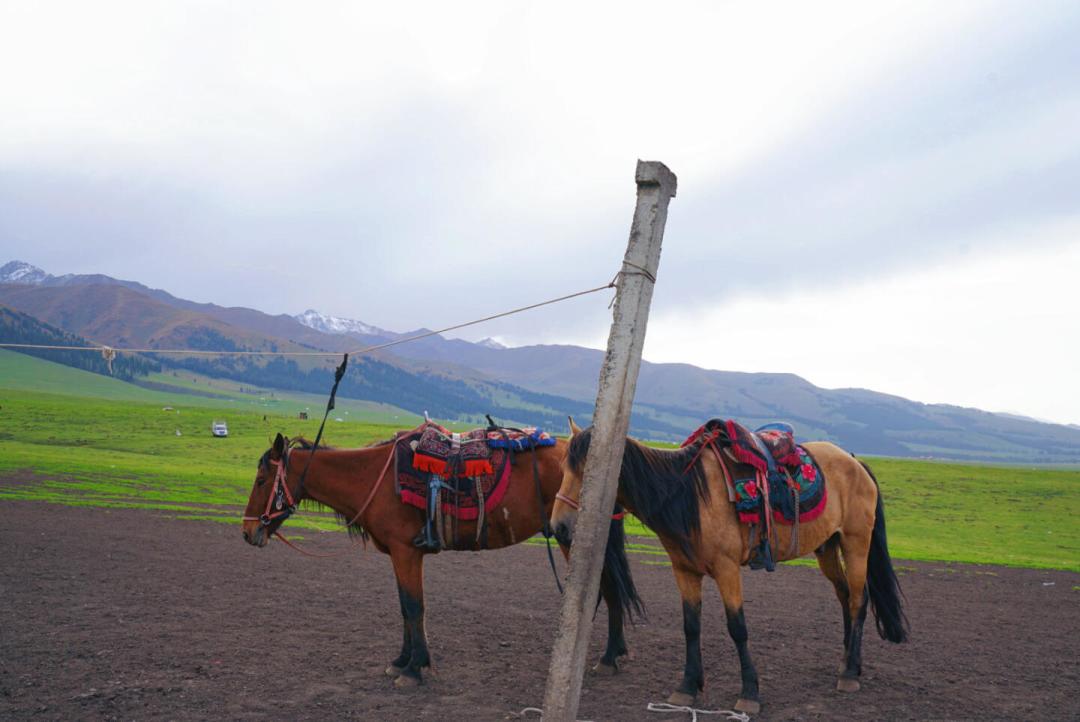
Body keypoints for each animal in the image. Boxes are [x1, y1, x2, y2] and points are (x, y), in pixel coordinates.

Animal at [241, 429, 642, 687]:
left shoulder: (406, 551)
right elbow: (405, 607)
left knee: (605, 589)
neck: (375, 478)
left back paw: (608, 658)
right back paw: (614, 655)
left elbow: (413, 606)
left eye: (261, 480)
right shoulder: (400, 554)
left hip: (572, 537)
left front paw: (414, 669)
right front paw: (402, 661)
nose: (247, 532)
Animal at [551, 419, 908, 715]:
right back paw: (849, 662)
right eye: (563, 467)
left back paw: (849, 674)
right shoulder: (684, 571)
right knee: (845, 597)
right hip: (828, 548)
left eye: (590, 471)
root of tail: (856, 462)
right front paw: (687, 687)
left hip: (856, 544)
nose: (559, 527)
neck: (689, 497)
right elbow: (690, 626)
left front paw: (749, 693)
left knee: (858, 601)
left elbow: (738, 628)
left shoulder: (727, 570)